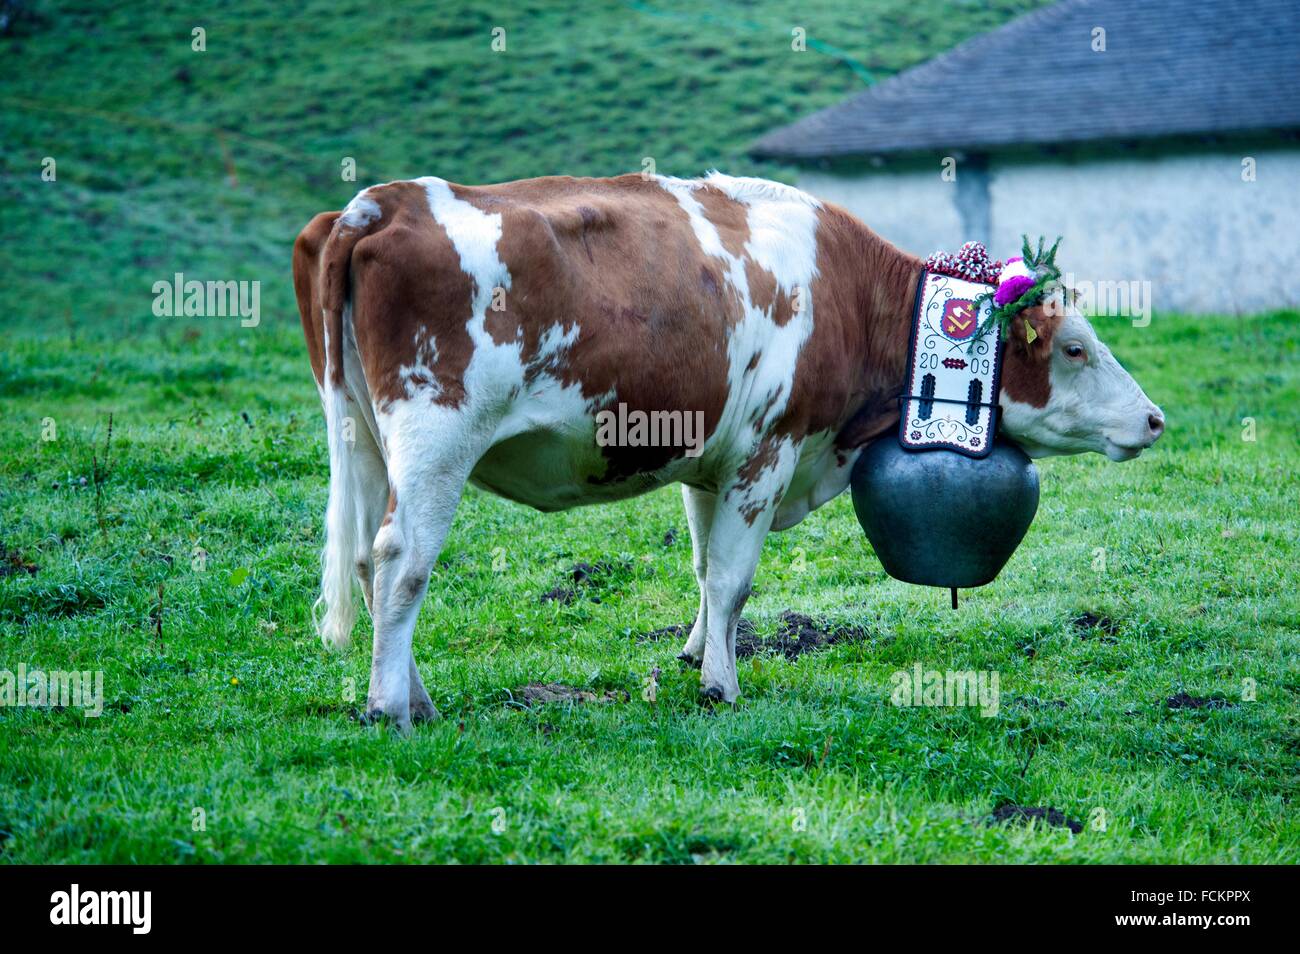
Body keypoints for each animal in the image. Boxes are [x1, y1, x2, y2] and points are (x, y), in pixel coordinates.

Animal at [293, 172, 1165, 728]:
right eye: (1076, 348)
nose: (1155, 419)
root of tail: (381, 202)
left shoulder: (707, 459)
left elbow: (704, 567)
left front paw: (694, 653)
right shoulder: (767, 450)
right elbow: (734, 578)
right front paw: (721, 684)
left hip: (365, 436)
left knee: (368, 559)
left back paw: (413, 693)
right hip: (435, 439)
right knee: (402, 560)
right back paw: (389, 707)